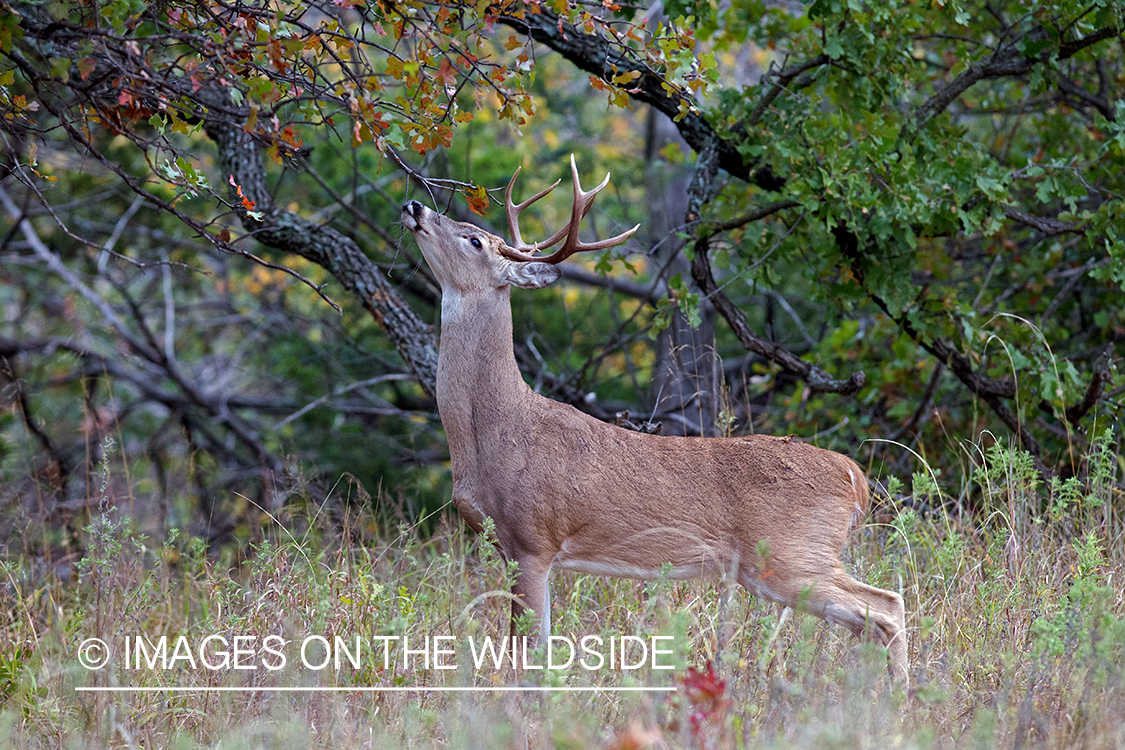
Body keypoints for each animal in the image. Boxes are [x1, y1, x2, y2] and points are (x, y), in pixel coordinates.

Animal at [400, 155, 909, 683]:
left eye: (474, 239)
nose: (414, 204)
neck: (495, 430)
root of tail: (855, 478)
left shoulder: (533, 539)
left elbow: (530, 655)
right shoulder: (508, 547)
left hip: (792, 553)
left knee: (888, 607)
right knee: (871, 619)